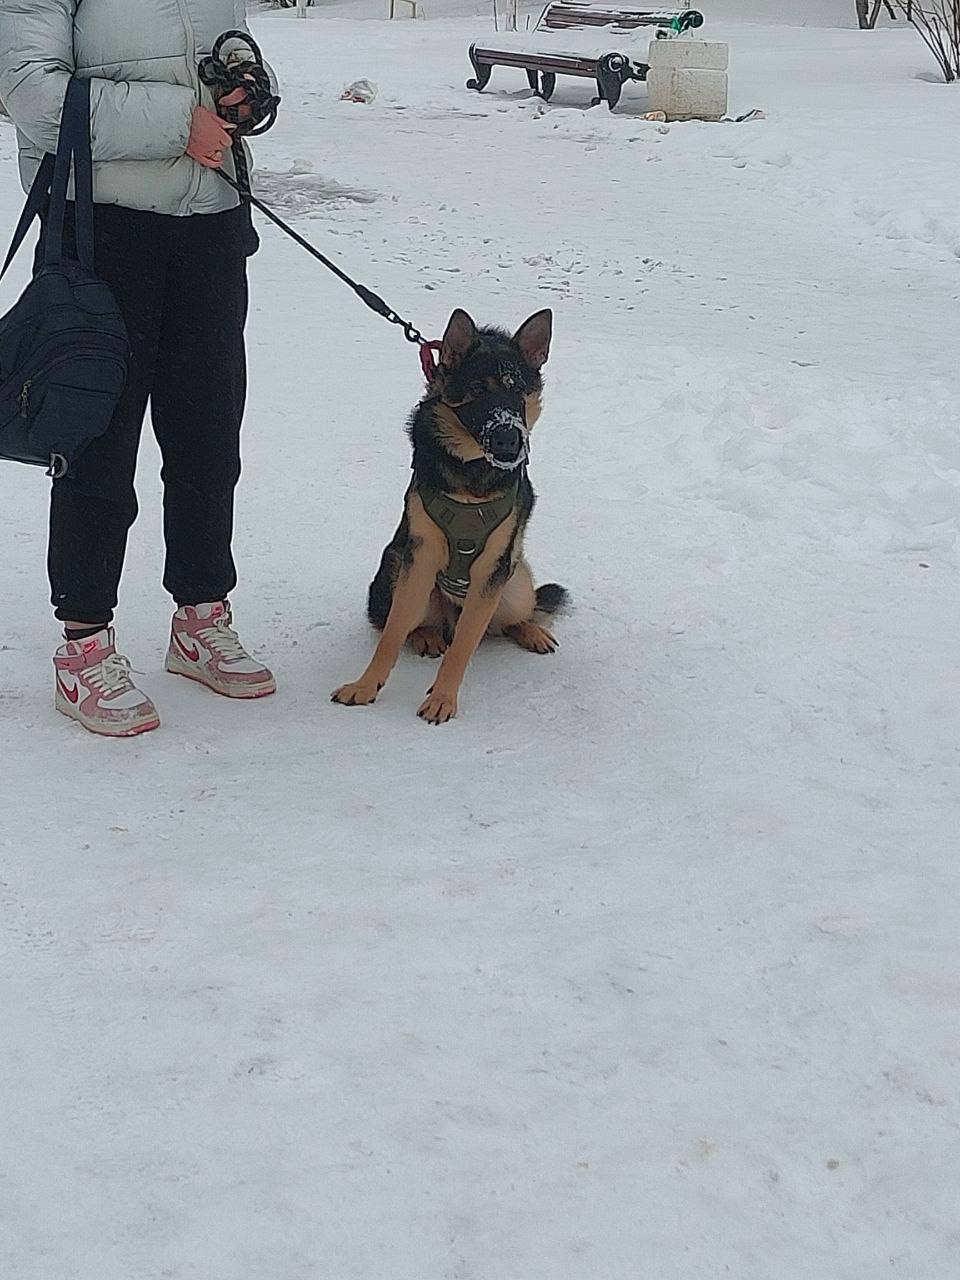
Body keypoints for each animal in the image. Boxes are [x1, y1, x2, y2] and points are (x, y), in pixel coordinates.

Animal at [331, 307, 568, 724]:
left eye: (517, 391)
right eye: (479, 391)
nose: (509, 441)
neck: (471, 474)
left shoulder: (491, 570)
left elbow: (462, 648)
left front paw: (442, 698)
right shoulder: (420, 556)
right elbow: (391, 635)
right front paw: (365, 686)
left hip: (514, 582)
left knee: (504, 621)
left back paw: (530, 631)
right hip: (396, 568)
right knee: (407, 622)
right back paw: (426, 635)